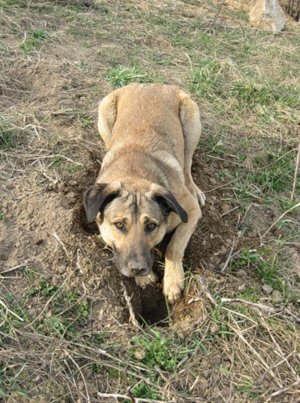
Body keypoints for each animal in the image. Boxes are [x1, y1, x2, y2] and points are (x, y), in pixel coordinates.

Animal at [83, 83, 205, 304]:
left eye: (151, 226)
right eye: (119, 225)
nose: (138, 269)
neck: (135, 173)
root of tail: (152, 83)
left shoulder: (191, 211)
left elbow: (174, 245)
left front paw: (173, 280)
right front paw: (144, 278)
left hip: (191, 120)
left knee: (187, 162)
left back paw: (194, 187)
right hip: (104, 113)